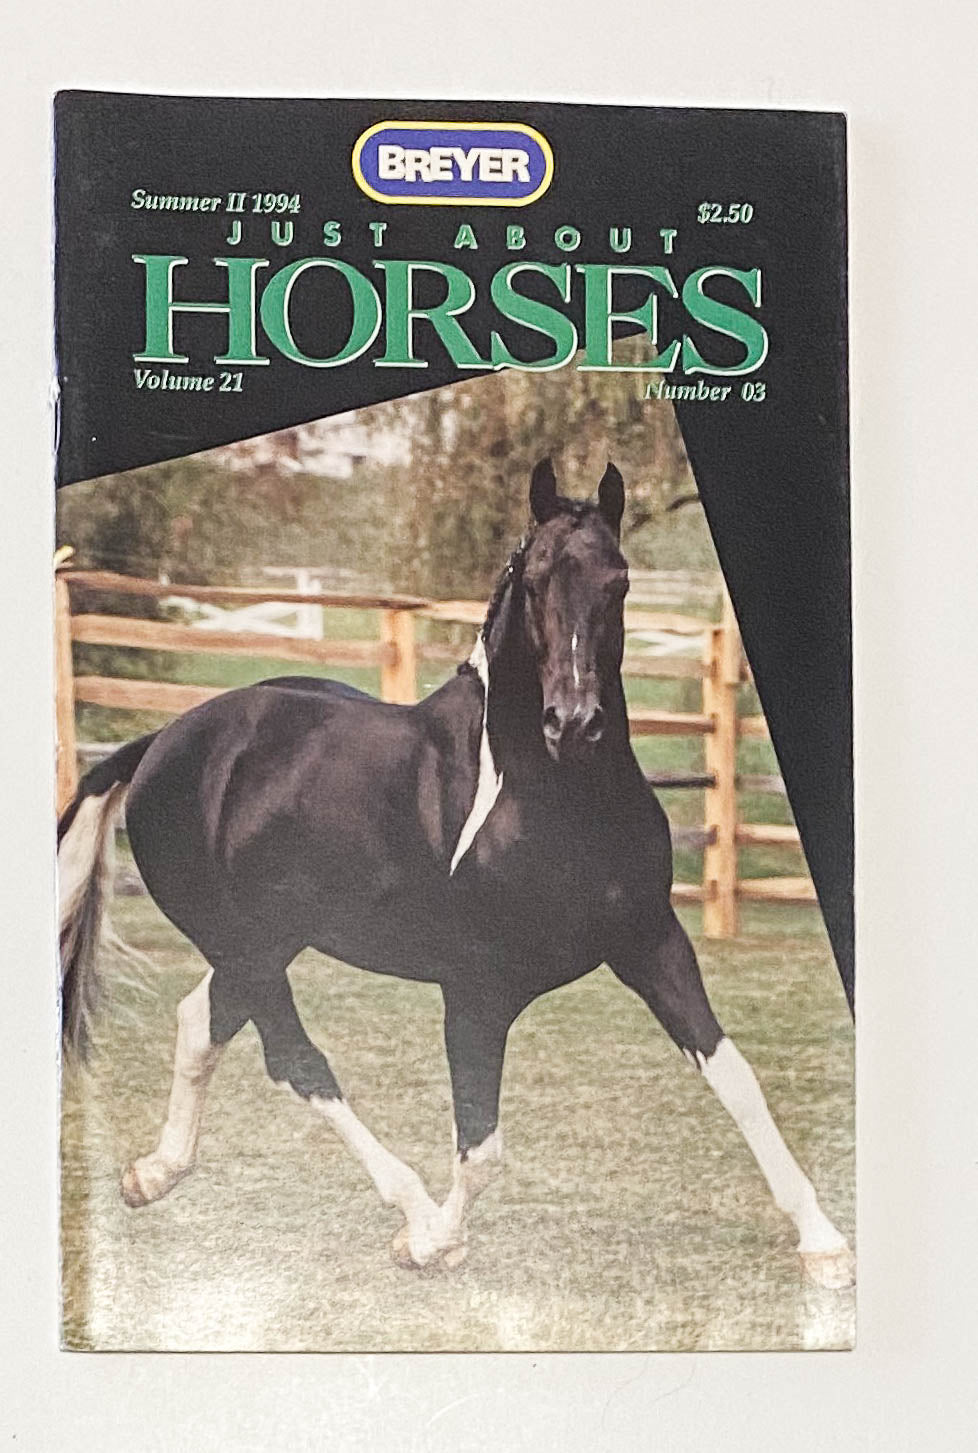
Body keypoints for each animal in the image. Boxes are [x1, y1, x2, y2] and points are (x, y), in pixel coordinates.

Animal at [57, 459, 854, 1289]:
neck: (554, 800)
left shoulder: (652, 942)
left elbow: (737, 1079)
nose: (573, 721)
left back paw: (152, 1173)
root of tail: (162, 741)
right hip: (249, 948)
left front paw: (826, 1244)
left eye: (620, 580)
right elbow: (482, 1146)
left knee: (201, 1022)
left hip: (261, 948)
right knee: (295, 1059)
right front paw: (432, 1242)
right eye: (534, 581)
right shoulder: (476, 989)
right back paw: (401, 1208)